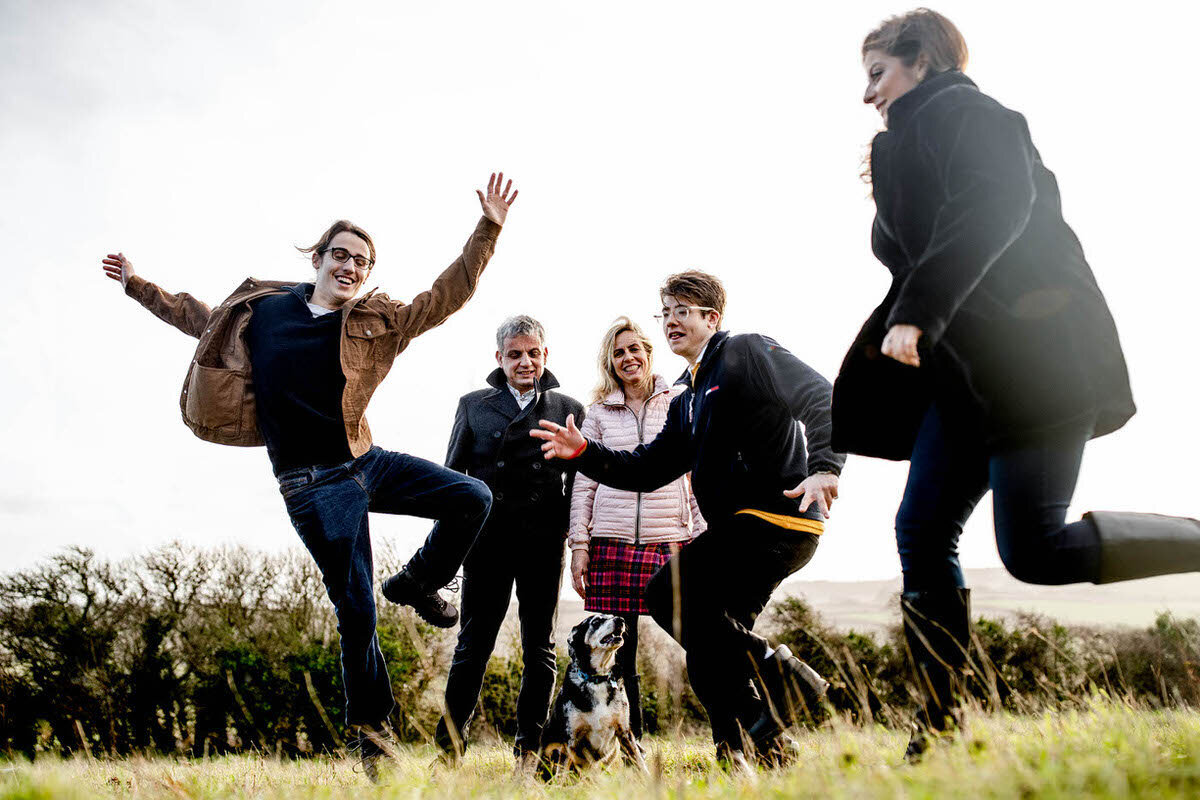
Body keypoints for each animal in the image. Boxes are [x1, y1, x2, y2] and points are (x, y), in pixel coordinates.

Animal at [540, 614, 648, 777]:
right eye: (596, 621)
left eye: (612, 616)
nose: (620, 619)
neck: (598, 678)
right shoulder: (569, 740)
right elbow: (562, 772)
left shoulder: (625, 732)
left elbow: (639, 761)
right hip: (552, 749)